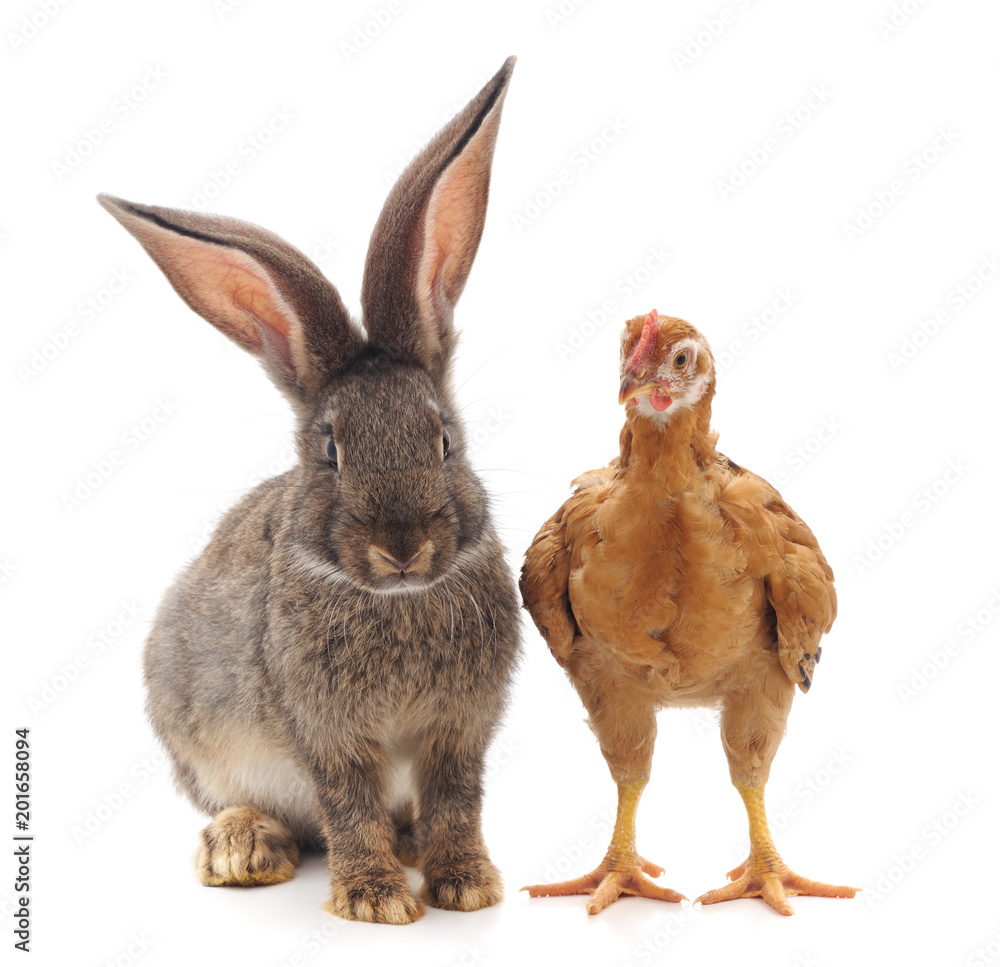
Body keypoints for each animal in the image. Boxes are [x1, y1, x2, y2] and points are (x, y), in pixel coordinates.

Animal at [97, 56, 520, 925]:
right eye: (329, 450)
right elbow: (349, 803)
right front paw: (375, 900)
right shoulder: (325, 731)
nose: (402, 547)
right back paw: (242, 847)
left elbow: (457, 800)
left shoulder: (459, 730)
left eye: (445, 438)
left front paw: (466, 883)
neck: (396, 600)